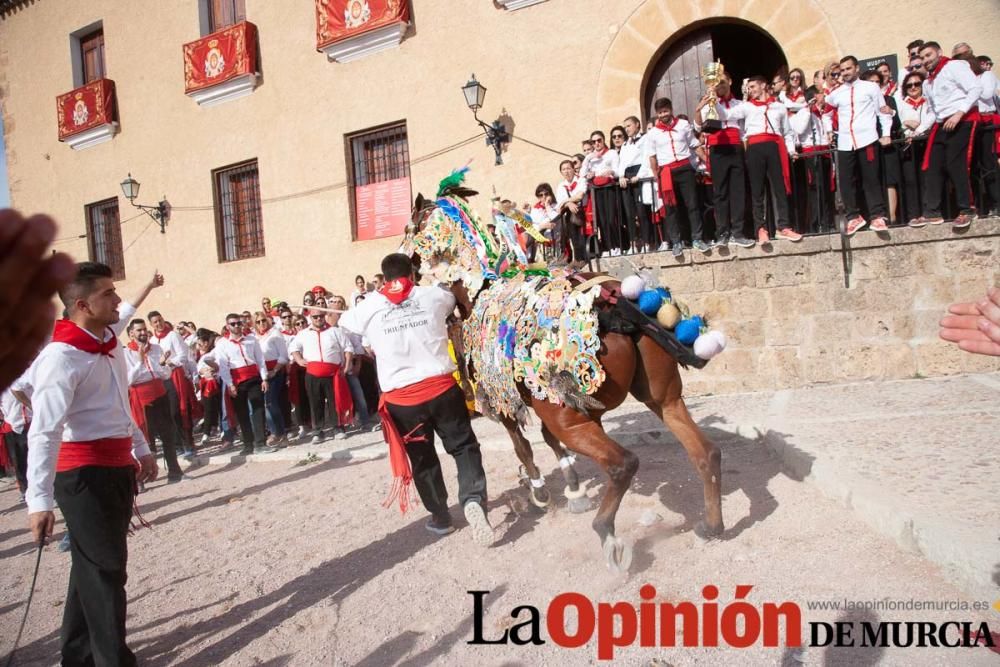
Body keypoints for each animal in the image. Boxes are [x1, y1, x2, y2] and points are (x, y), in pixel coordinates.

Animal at [404, 170, 728, 572]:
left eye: (412, 224)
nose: (402, 262)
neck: (479, 289)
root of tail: (613, 304)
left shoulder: (511, 404)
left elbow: (525, 447)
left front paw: (542, 491)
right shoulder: (579, 408)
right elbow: (547, 443)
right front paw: (573, 488)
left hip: (569, 418)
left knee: (622, 464)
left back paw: (608, 535)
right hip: (663, 399)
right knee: (705, 453)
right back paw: (711, 525)